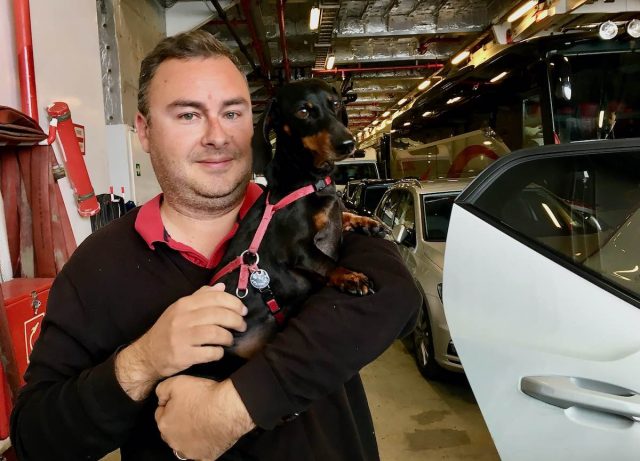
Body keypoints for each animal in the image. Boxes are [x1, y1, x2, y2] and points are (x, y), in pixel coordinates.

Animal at [198, 78, 380, 378]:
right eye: (303, 111)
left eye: (335, 103)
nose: (348, 144)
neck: (310, 180)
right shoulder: (297, 248)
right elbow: (325, 261)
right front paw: (350, 276)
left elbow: (341, 214)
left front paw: (368, 223)